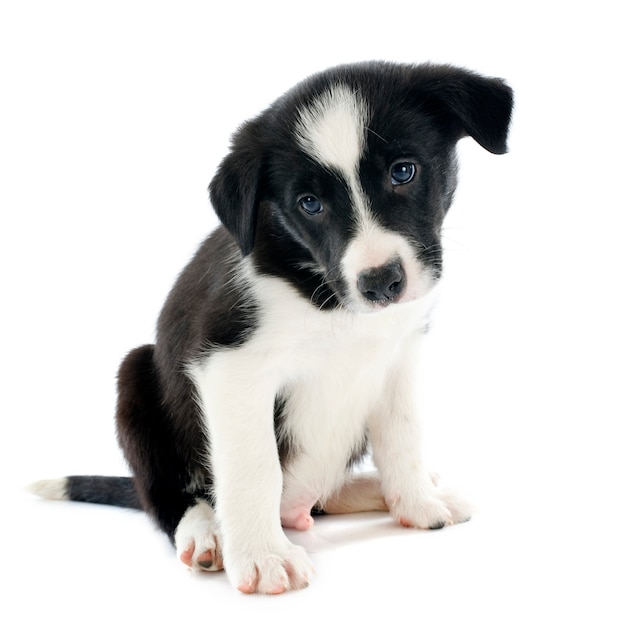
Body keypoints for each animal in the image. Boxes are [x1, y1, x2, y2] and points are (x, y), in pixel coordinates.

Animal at [28, 61, 512, 592]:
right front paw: (263, 557)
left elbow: (403, 436)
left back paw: (375, 490)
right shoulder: (231, 366)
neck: (330, 301)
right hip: (135, 380)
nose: (380, 282)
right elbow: (255, 467)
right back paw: (206, 534)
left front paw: (418, 503)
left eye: (403, 171)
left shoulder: (400, 351)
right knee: (169, 498)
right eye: (309, 203)